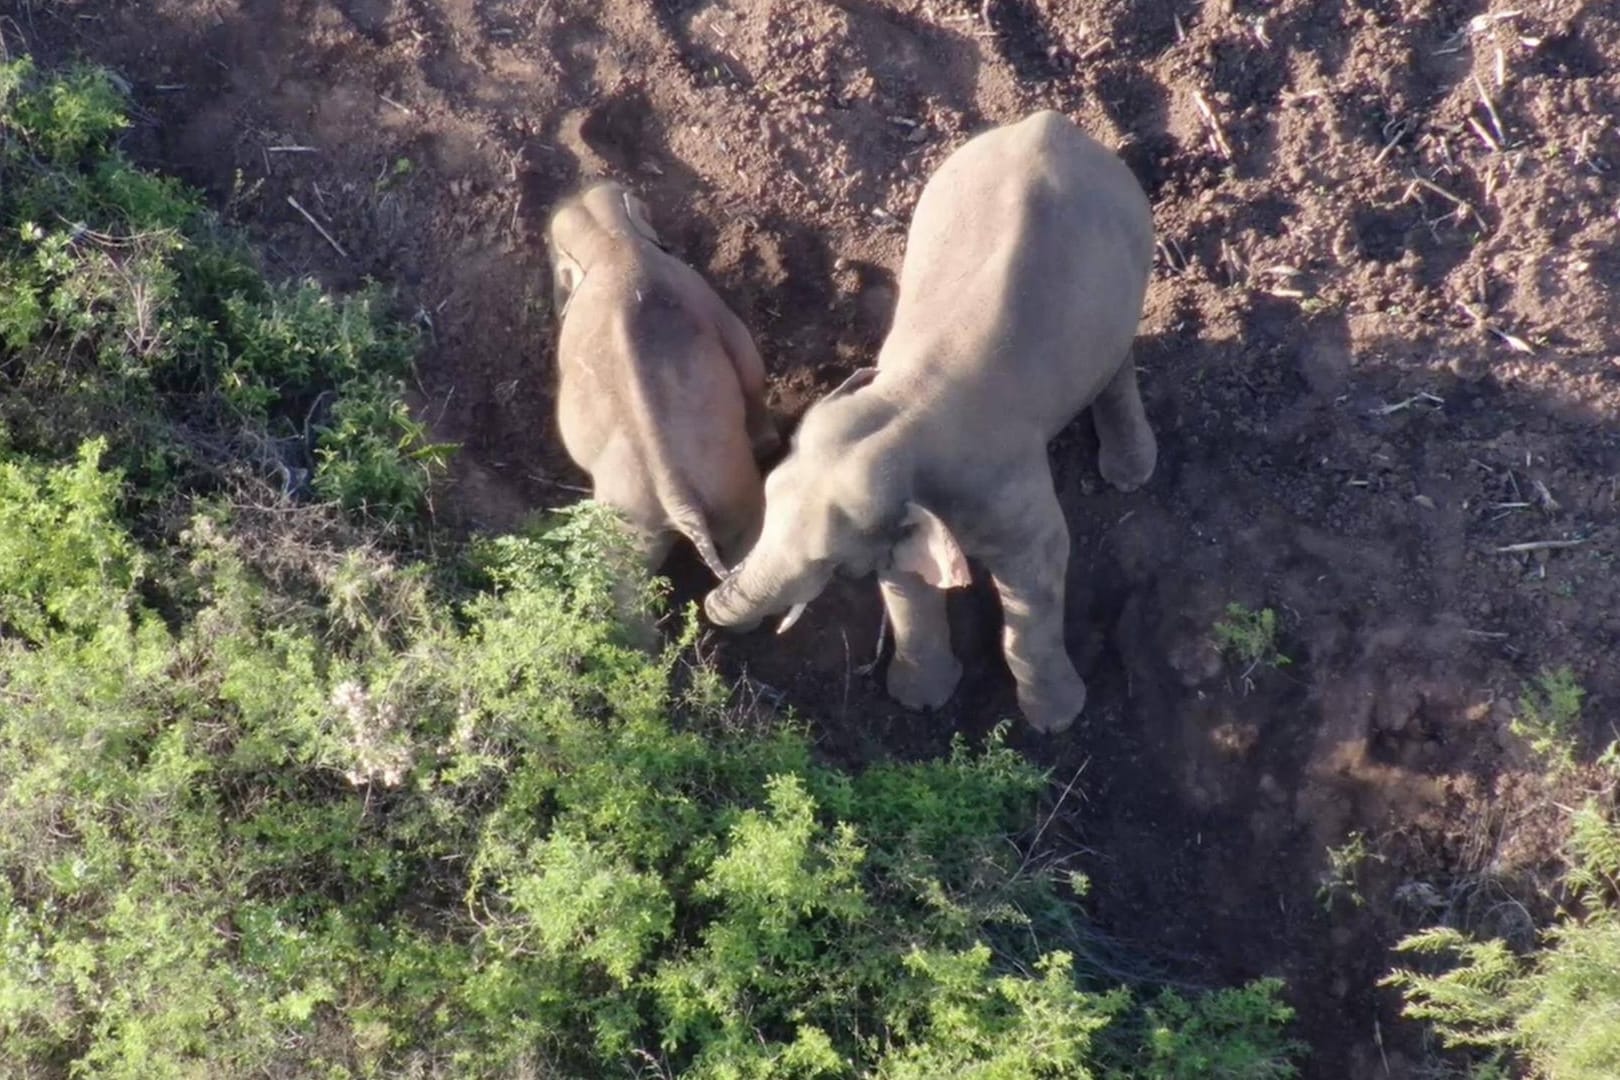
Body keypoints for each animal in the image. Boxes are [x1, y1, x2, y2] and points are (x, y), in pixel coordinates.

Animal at [547, 180, 780, 579]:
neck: (611, 244)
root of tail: (678, 498)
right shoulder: (701, 294)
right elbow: (749, 364)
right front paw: (769, 443)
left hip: (640, 522)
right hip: (725, 487)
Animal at [703, 111, 1159, 735]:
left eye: (824, 562)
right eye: (766, 499)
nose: (710, 607)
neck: (901, 409)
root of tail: (1051, 122)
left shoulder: (1002, 485)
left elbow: (1039, 570)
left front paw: (1054, 724)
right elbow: (906, 583)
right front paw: (918, 703)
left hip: (1133, 254)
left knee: (1117, 357)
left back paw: (1130, 473)